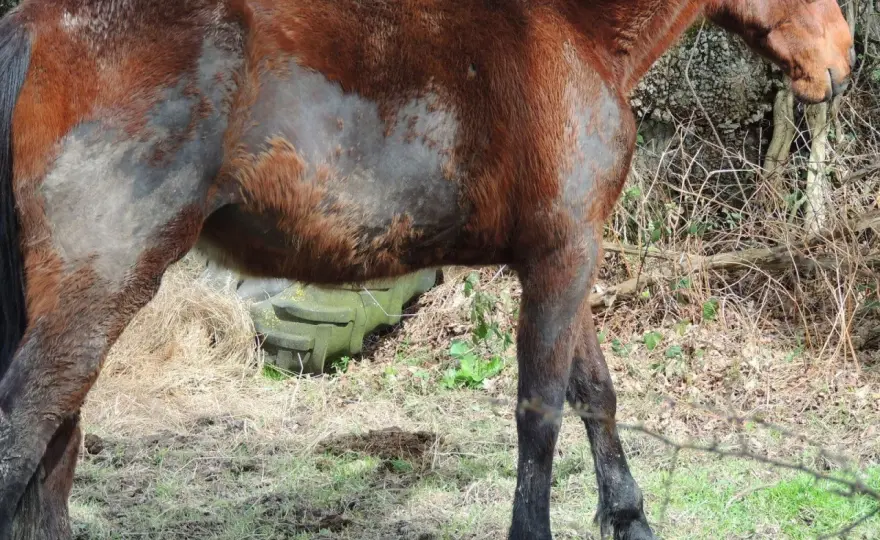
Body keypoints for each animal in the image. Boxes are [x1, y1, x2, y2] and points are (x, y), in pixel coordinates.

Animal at [0, 0, 853, 538]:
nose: (845, 55)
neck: (574, 36)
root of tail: (31, 25)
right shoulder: (565, 256)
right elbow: (541, 413)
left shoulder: (563, 255)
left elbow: (595, 394)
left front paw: (630, 518)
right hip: (102, 285)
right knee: (27, 429)